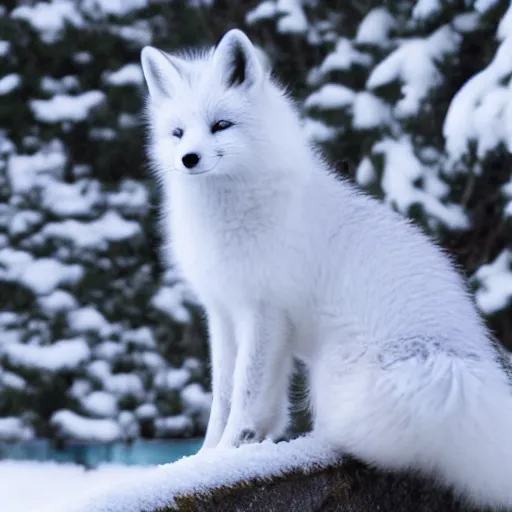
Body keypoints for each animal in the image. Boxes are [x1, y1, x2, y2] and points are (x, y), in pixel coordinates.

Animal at [142, 30, 512, 510]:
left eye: (221, 125)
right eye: (177, 132)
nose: (188, 158)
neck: (230, 209)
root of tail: (468, 376)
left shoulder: (265, 310)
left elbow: (245, 391)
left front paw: (231, 450)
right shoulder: (223, 312)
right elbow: (225, 395)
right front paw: (209, 457)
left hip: (336, 378)